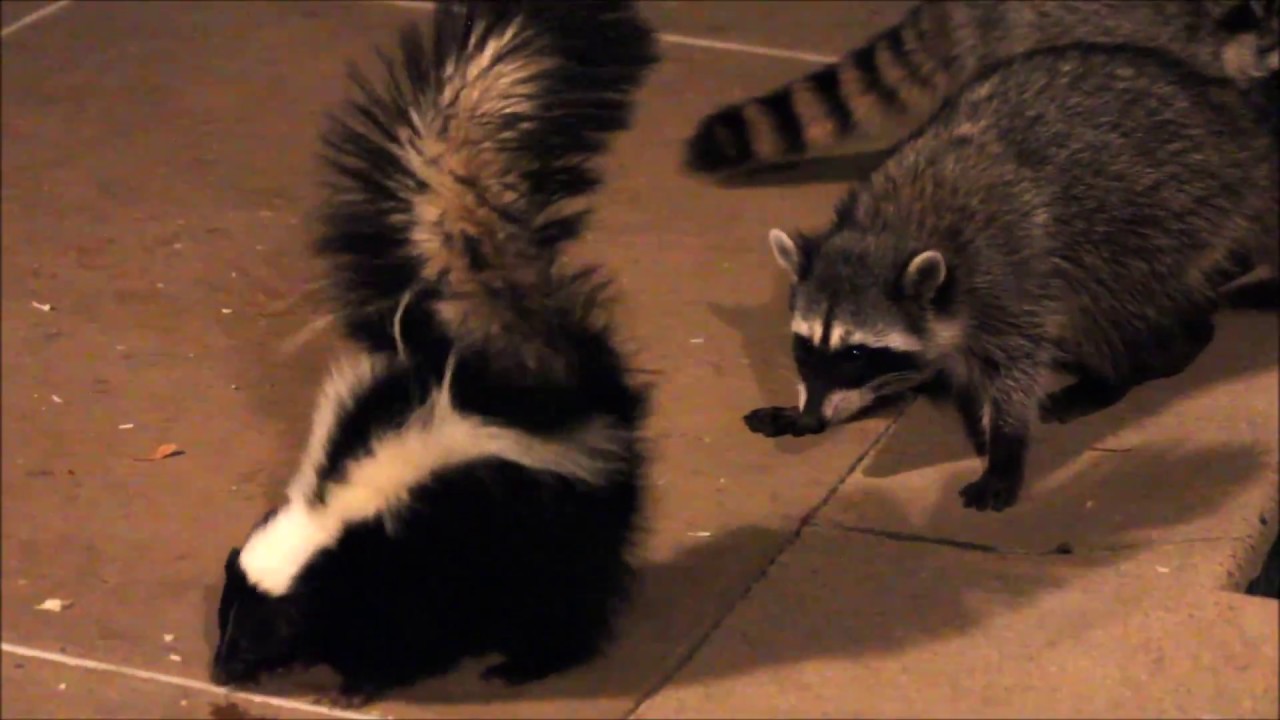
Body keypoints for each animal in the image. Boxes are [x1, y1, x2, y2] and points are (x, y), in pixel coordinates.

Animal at [745, 42, 1279, 513]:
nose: (812, 419)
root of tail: (1230, 114)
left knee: (1111, 303)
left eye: (855, 353)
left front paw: (1004, 443)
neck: (889, 230)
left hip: (1164, 213)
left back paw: (1130, 368)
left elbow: (1014, 372)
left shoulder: (1010, 278)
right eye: (804, 346)